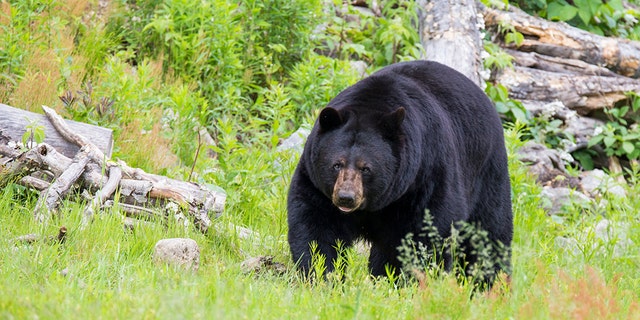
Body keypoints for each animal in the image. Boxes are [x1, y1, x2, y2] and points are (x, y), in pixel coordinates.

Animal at [288, 59, 512, 284]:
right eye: (336, 164)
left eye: (366, 168)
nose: (346, 198)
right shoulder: (316, 182)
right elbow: (316, 225)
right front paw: (321, 274)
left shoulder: (425, 175)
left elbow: (427, 231)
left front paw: (408, 278)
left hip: (487, 171)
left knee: (489, 232)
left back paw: (489, 281)